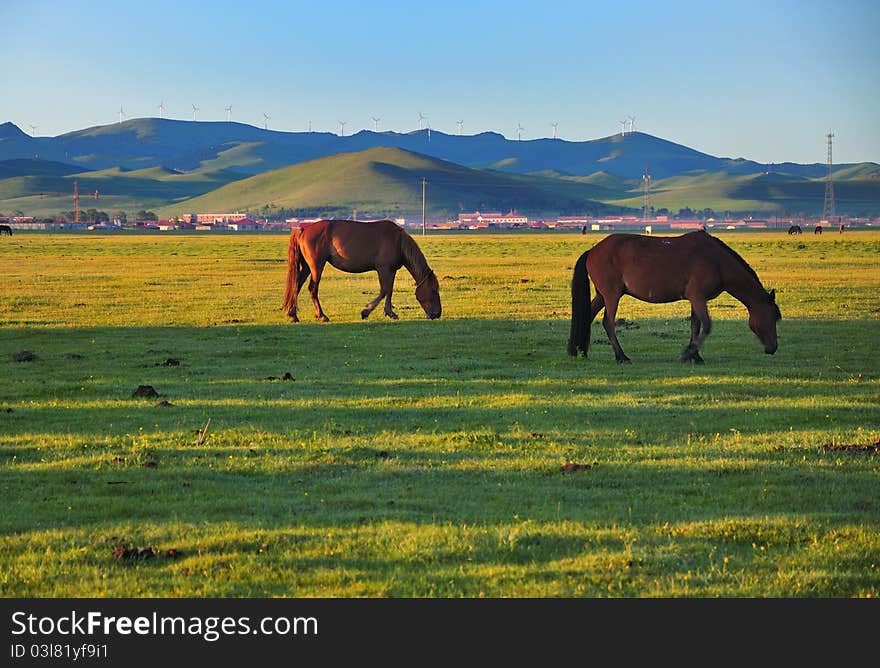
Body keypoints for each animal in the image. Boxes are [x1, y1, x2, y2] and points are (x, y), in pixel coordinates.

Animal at [284, 220, 440, 322]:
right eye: (434, 290)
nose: (437, 314)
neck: (398, 241)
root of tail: (304, 230)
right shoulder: (384, 269)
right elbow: (384, 290)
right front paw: (366, 311)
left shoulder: (391, 271)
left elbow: (389, 291)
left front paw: (390, 313)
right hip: (316, 266)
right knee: (312, 288)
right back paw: (321, 315)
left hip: (307, 267)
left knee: (297, 285)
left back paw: (293, 314)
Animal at [568, 231, 780, 366]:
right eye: (772, 318)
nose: (773, 348)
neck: (717, 261)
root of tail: (593, 251)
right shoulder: (698, 297)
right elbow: (707, 325)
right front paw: (687, 354)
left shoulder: (696, 299)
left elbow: (695, 326)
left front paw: (696, 356)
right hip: (612, 295)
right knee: (608, 323)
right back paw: (621, 357)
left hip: (602, 295)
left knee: (588, 316)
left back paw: (580, 351)